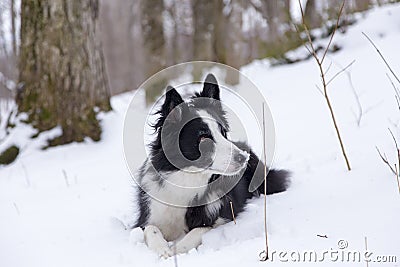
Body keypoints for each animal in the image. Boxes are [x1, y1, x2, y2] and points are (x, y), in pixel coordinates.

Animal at [136, 74, 290, 258]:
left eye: (223, 132)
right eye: (203, 138)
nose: (242, 158)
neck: (187, 179)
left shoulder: (222, 217)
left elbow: (197, 232)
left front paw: (175, 250)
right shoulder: (148, 217)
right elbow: (151, 229)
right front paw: (163, 250)